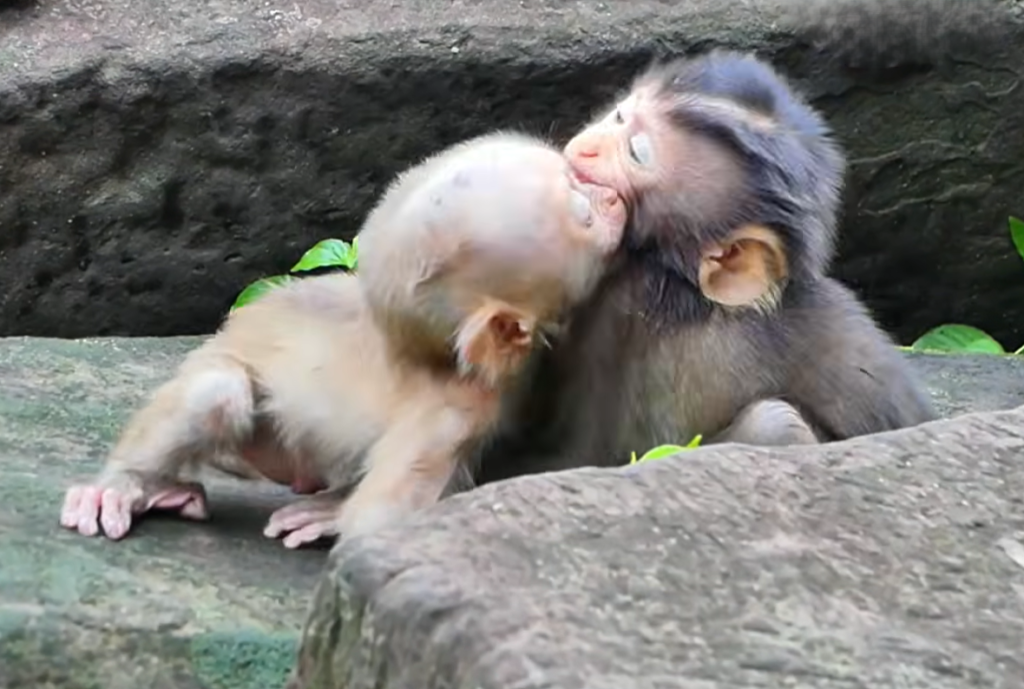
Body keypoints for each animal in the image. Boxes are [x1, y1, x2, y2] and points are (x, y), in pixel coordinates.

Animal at [59, 131, 626, 547]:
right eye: (583, 212)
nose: (610, 193)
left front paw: (326, 509)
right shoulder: (454, 408)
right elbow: (376, 524)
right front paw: (339, 519)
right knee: (215, 391)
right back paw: (127, 485)